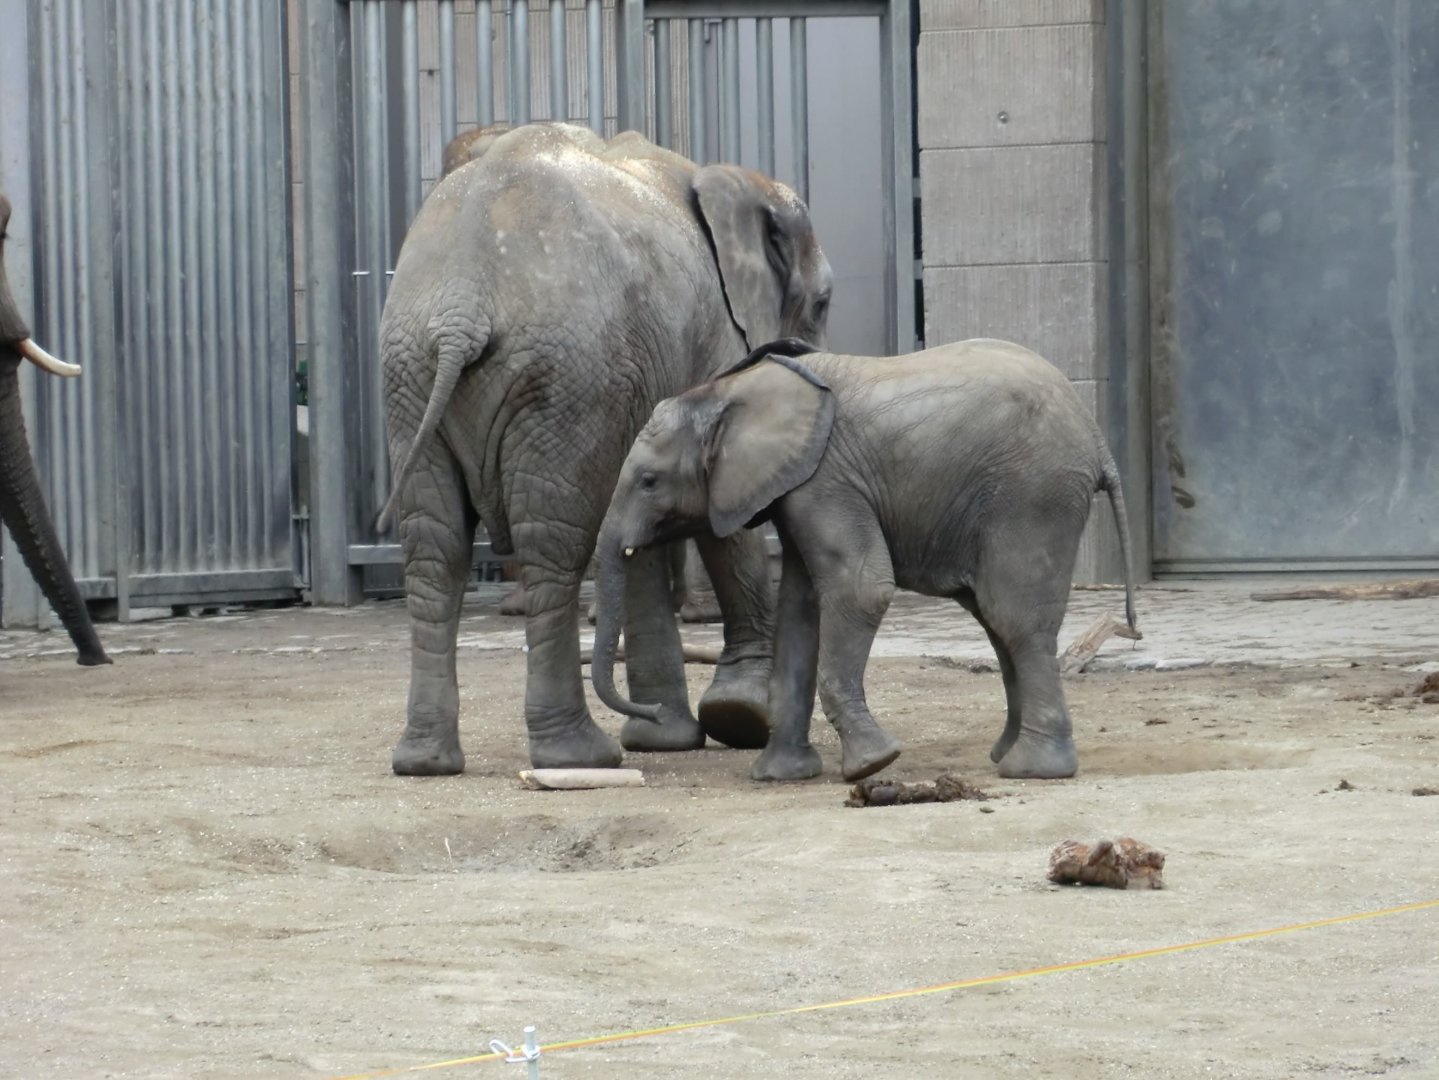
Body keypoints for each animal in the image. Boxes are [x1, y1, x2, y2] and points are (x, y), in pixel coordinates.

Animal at [377, 123, 832, 775]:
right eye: (822, 303)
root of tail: (464, 302)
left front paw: (669, 736)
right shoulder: (716, 335)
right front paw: (741, 717)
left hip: (412, 374)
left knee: (434, 549)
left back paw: (426, 762)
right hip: (564, 376)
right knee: (553, 543)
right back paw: (576, 755)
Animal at [590, 337, 1136, 783]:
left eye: (649, 481)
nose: (650, 712)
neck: (730, 390)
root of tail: (1098, 441)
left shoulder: (825, 481)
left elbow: (859, 589)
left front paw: (873, 765)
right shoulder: (798, 489)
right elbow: (800, 612)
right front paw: (779, 776)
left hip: (1033, 495)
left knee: (1013, 617)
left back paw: (1033, 770)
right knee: (995, 619)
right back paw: (1004, 756)